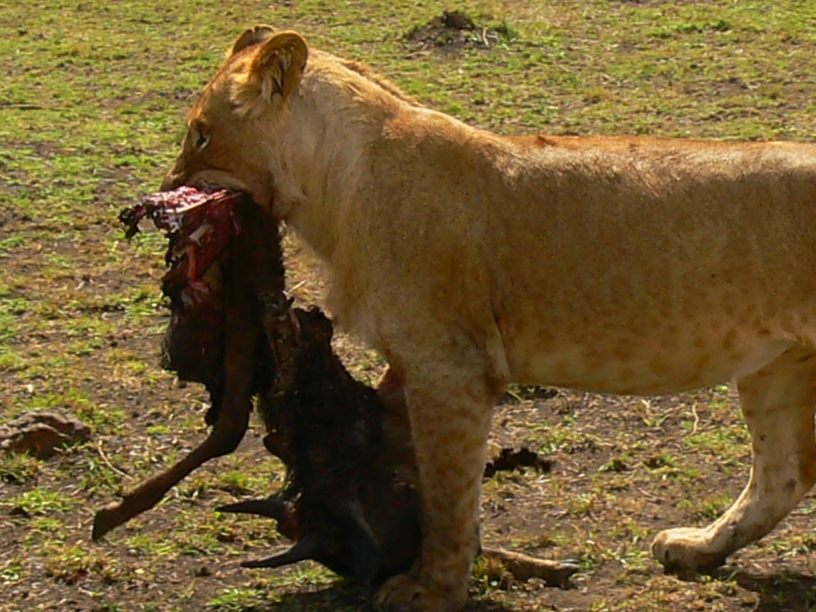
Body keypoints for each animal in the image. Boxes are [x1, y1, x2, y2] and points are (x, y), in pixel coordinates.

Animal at [160, 26, 816, 612]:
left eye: (200, 134)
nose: (166, 187)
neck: (338, 184)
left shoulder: (449, 366)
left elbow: (445, 489)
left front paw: (433, 589)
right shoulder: (417, 363)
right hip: (775, 366)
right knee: (782, 476)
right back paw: (699, 548)